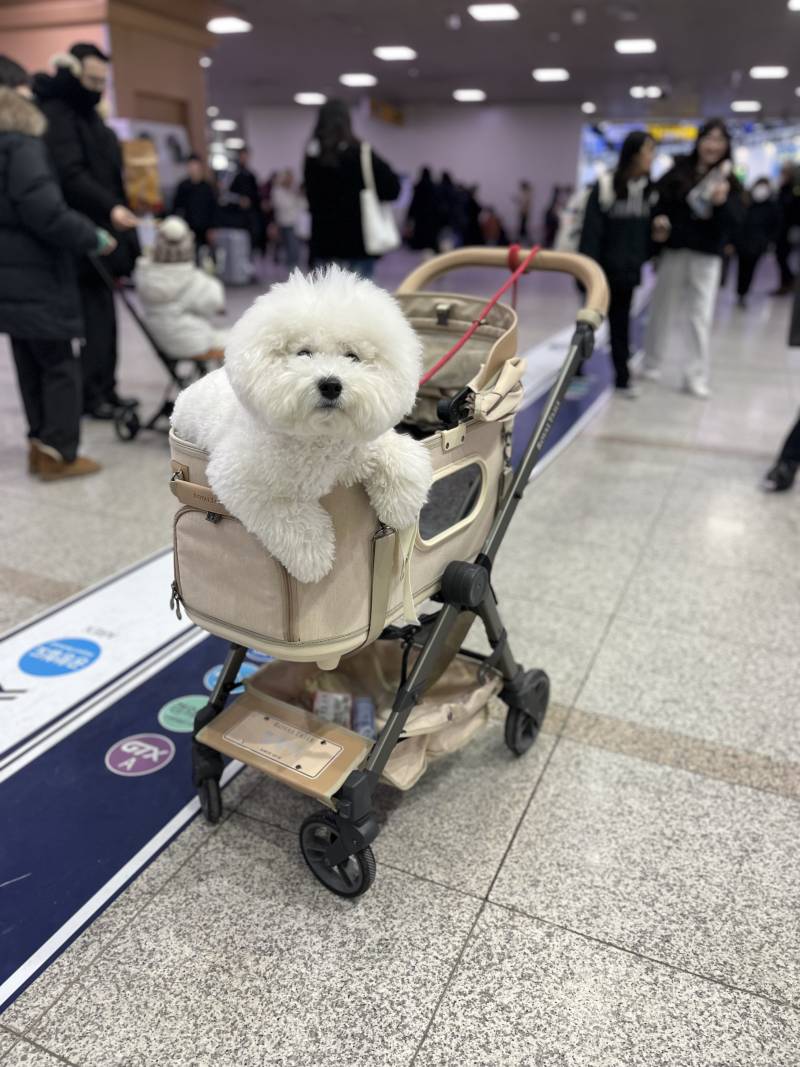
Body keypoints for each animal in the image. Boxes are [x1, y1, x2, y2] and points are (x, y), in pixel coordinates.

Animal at [169, 266, 433, 584]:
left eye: (352, 356)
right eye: (304, 352)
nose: (331, 384)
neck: (317, 438)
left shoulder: (364, 447)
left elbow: (401, 456)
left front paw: (401, 507)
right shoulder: (240, 478)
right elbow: (289, 517)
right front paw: (315, 557)